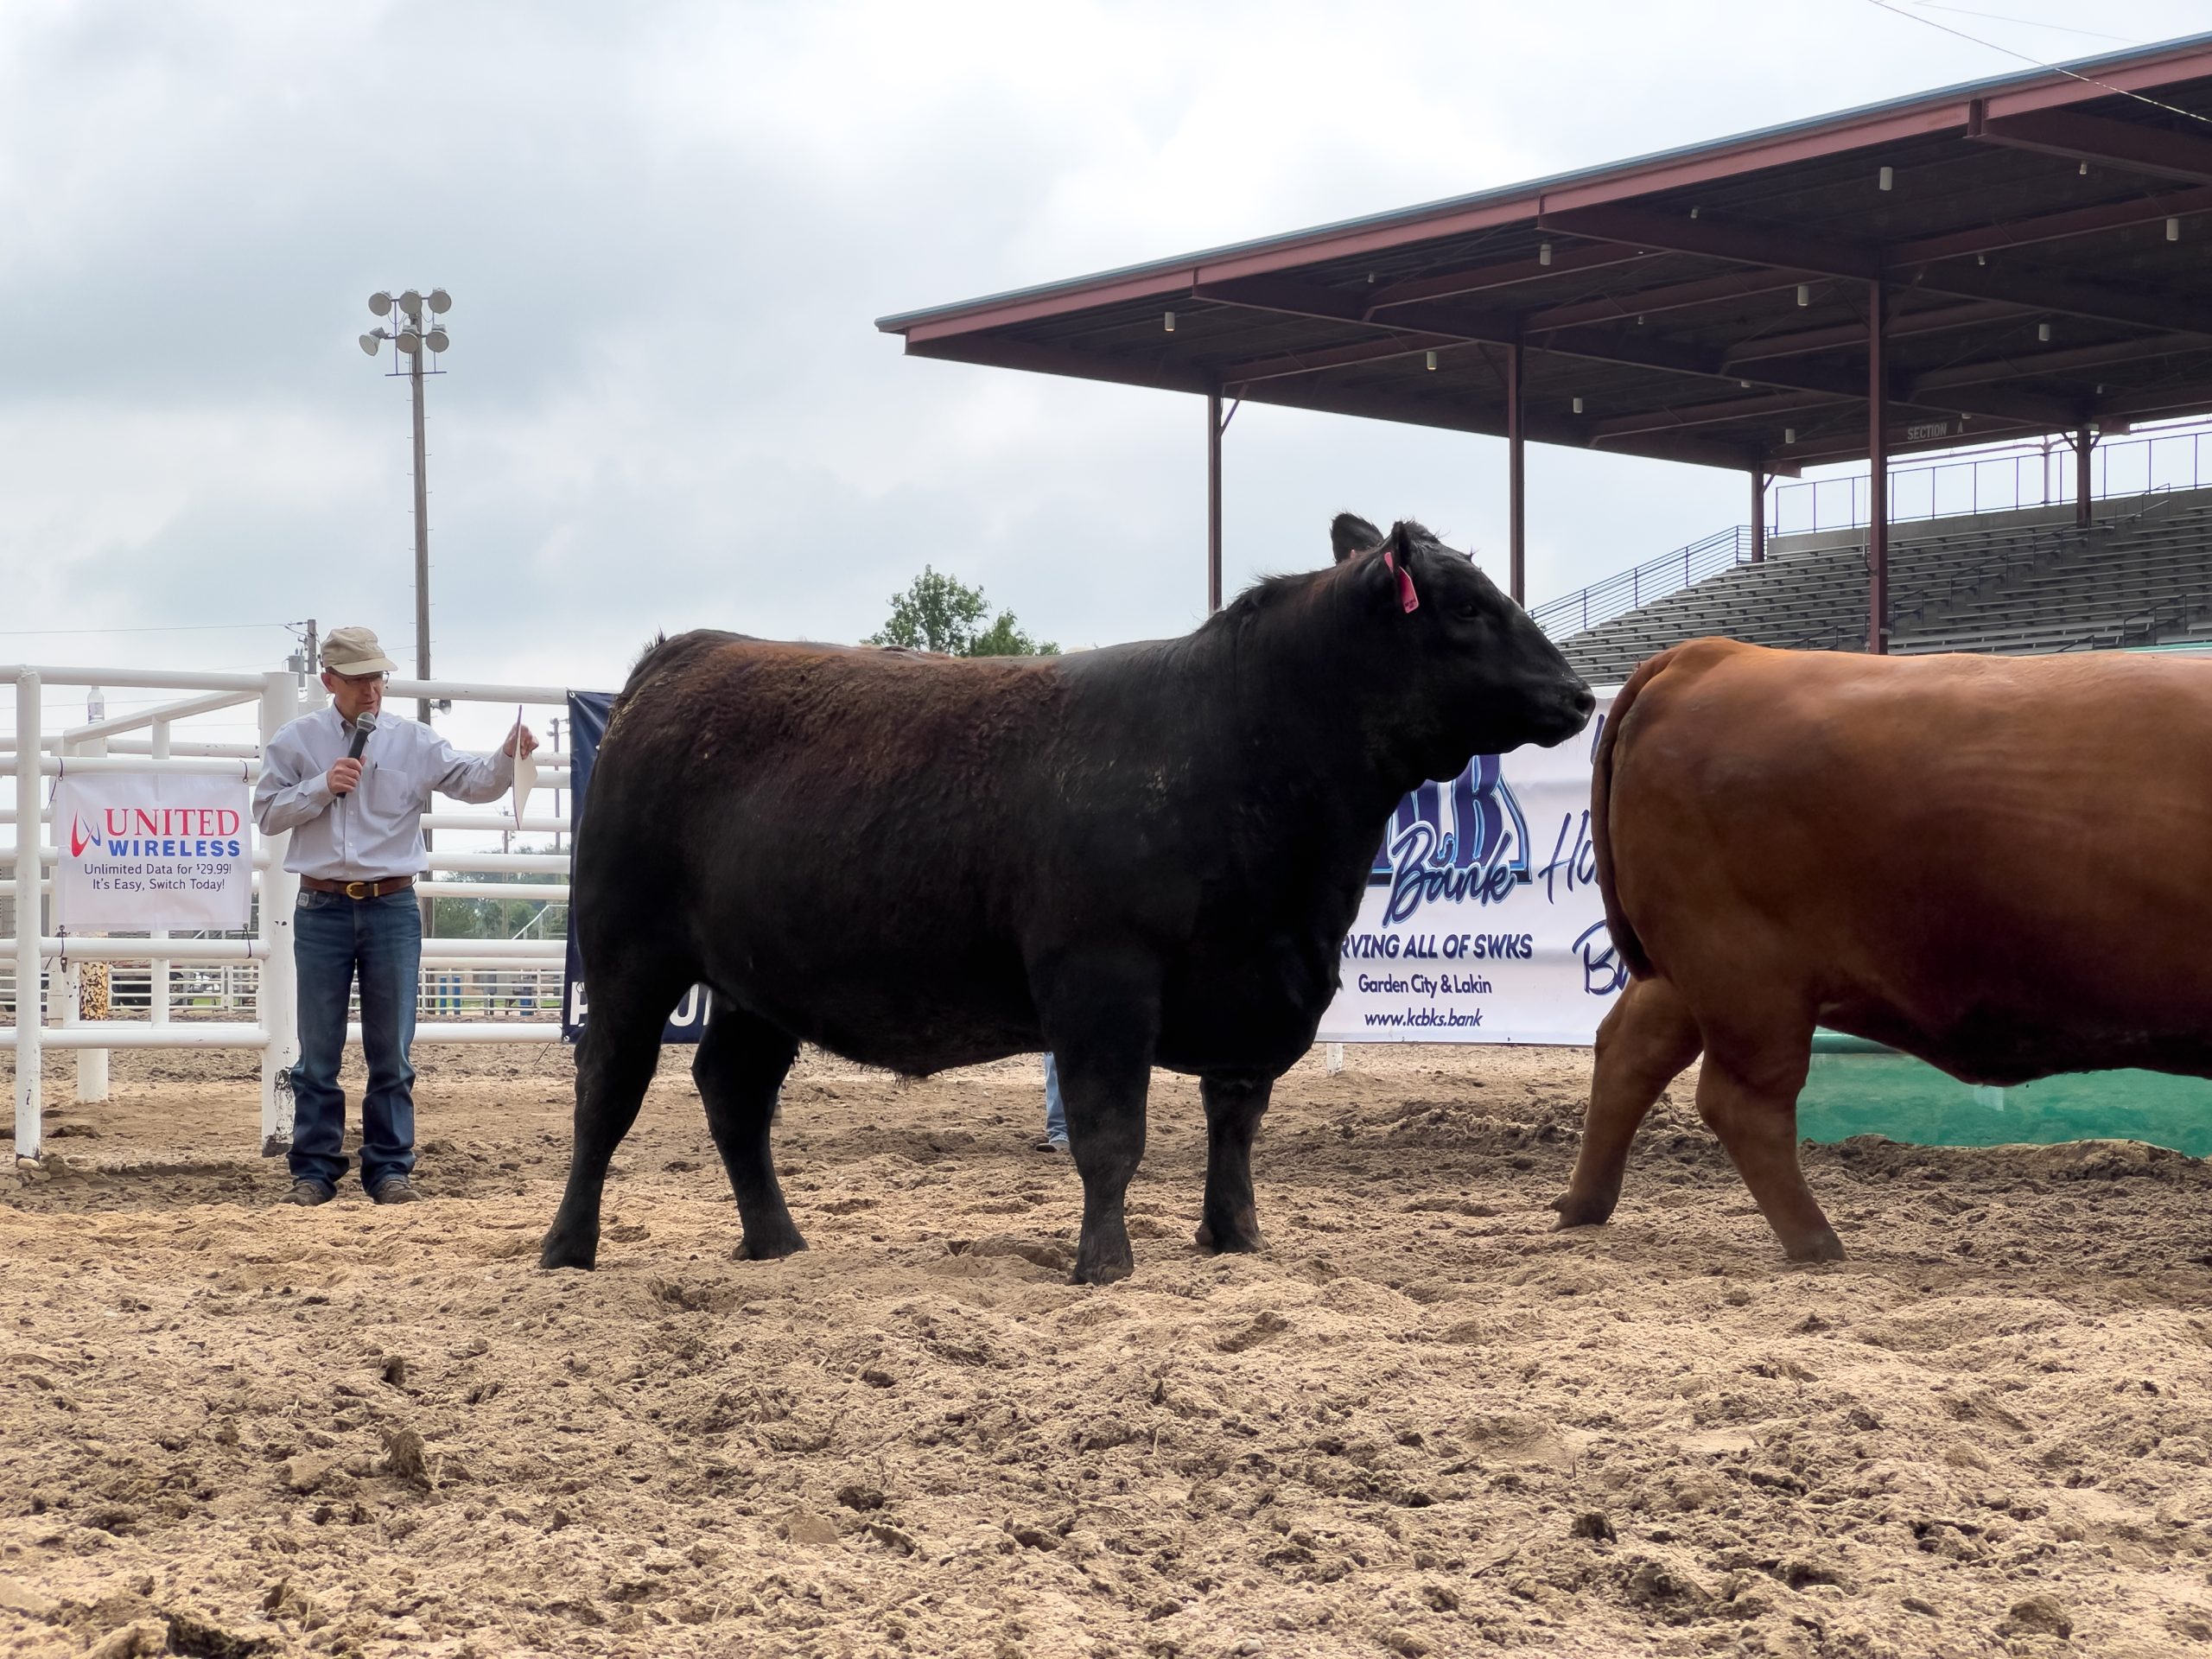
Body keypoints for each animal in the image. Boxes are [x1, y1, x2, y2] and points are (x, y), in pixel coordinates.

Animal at [543, 519, 1601, 1282]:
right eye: (1465, 606)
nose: (1580, 695)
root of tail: (682, 656)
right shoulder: (1101, 979)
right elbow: (1110, 1133)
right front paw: (1105, 1263)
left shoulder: (1254, 984)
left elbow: (1235, 1122)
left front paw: (1235, 1238)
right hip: (628, 952)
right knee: (607, 1091)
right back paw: (567, 1249)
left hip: (759, 984)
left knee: (733, 1090)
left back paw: (777, 1243)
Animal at [1548, 637, 2212, 1256]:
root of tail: (1715, 653)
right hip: (1744, 974)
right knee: (1742, 1100)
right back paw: (1818, 1244)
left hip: (1684, 975)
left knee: (1631, 1052)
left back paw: (1584, 1206)